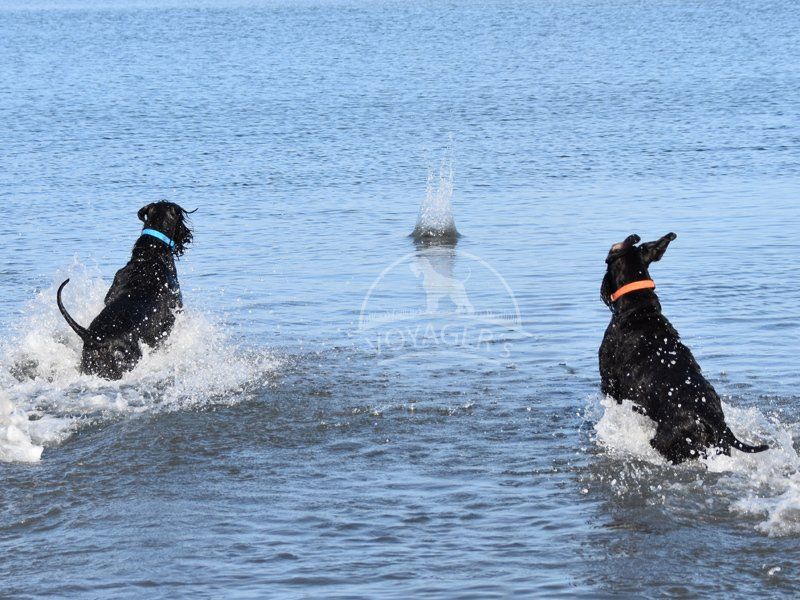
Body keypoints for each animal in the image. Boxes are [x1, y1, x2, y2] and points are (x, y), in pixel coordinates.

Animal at [57, 201, 194, 380]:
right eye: (181, 218)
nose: (187, 234)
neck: (150, 255)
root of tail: (94, 337)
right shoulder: (173, 313)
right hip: (126, 360)